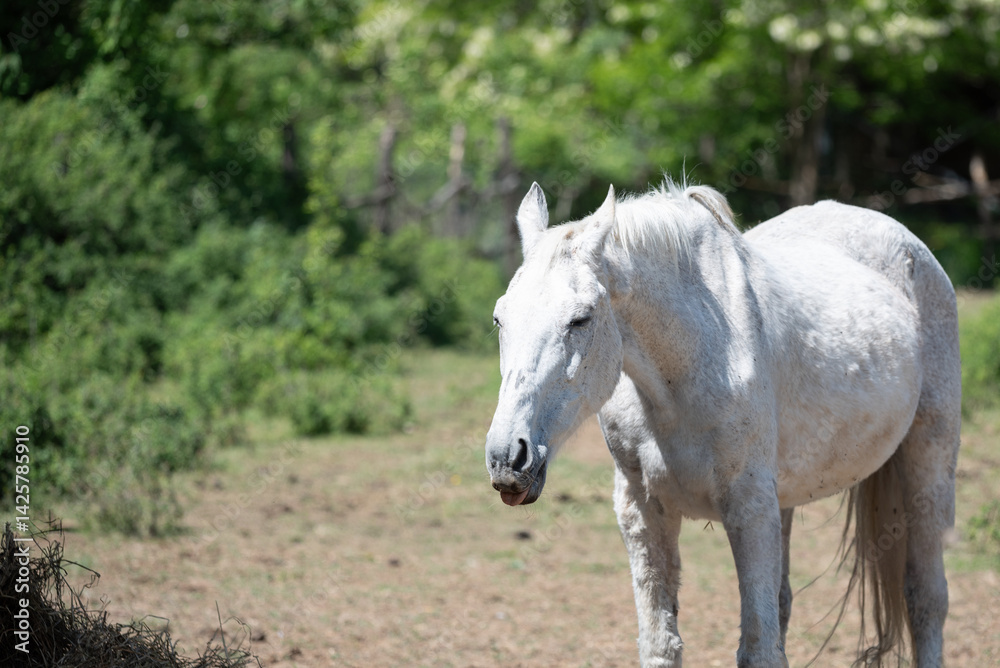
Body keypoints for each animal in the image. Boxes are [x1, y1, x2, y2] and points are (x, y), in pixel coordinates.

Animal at [484, 178, 960, 668]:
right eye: (500, 317)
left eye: (581, 319)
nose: (507, 457)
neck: (687, 367)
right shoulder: (642, 510)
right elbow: (661, 644)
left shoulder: (748, 509)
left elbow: (758, 651)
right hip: (784, 502)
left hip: (929, 464)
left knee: (926, 598)